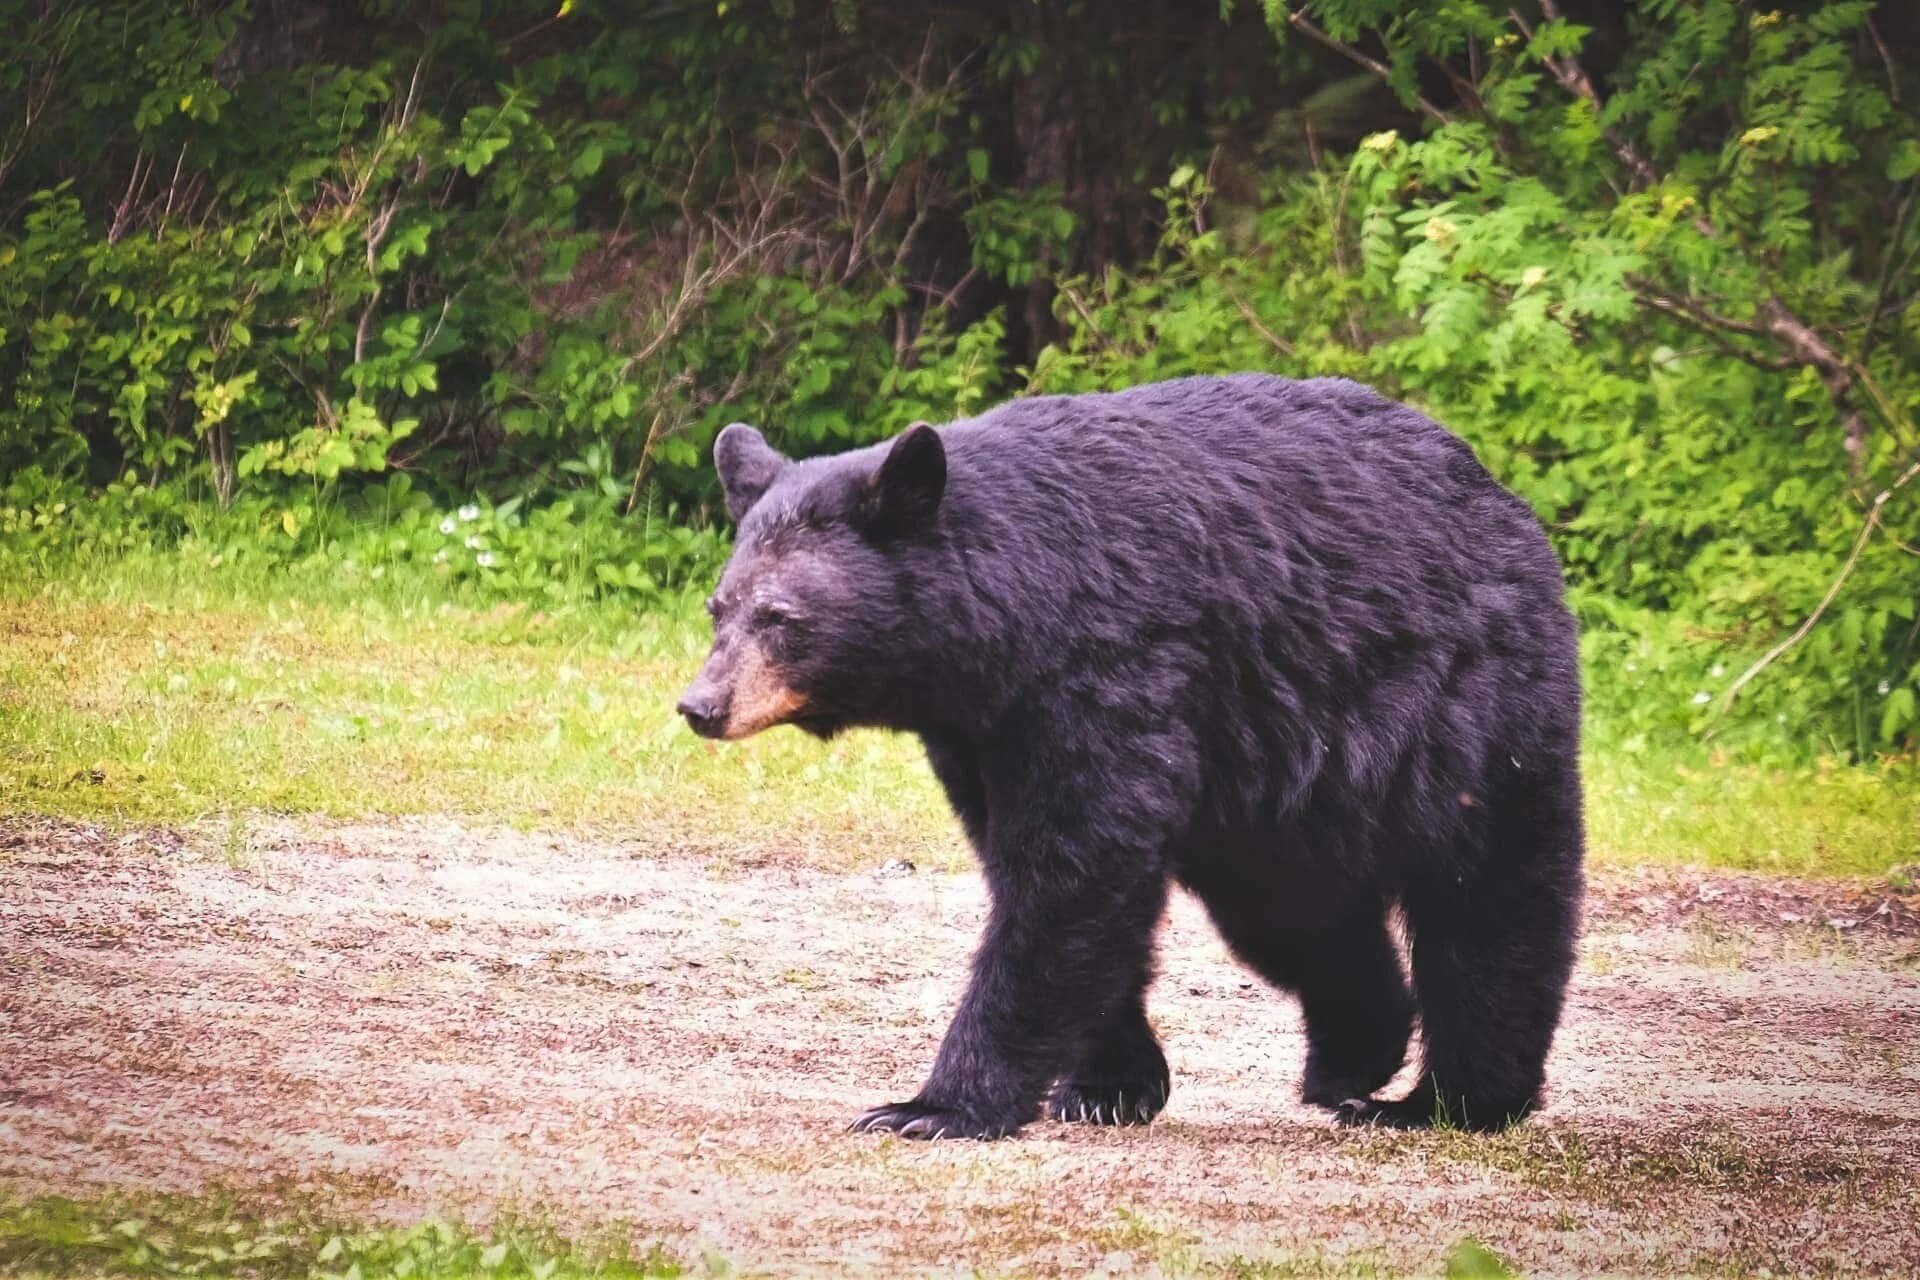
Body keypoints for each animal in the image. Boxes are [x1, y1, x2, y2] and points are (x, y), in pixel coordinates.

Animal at [683, 372, 1582, 1143]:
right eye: (719, 606)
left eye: (782, 618)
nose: (701, 705)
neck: (1010, 622)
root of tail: (1502, 498)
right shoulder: (983, 733)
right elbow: (1046, 875)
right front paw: (1110, 1085)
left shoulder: (1108, 668)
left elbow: (1074, 871)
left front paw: (932, 1106)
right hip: (1275, 787)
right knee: (1297, 912)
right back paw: (1353, 1059)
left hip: (1468, 708)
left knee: (1492, 897)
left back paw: (1452, 1100)